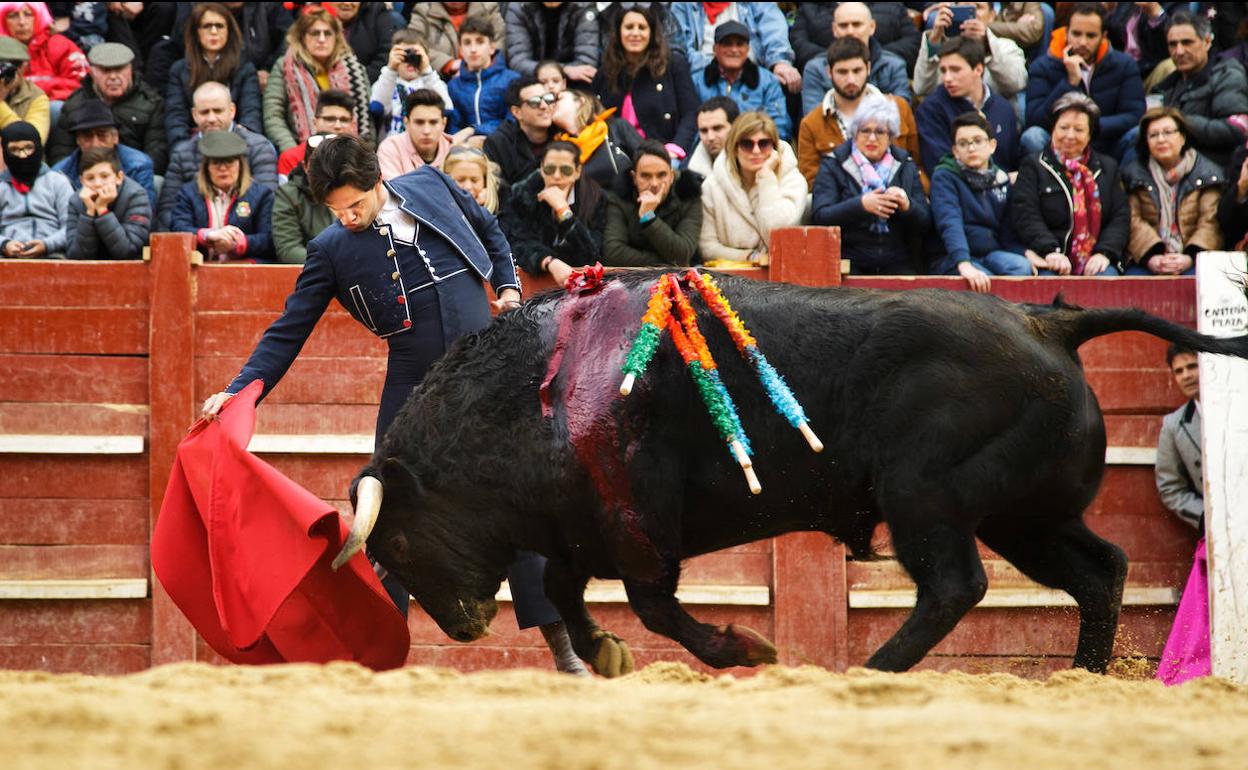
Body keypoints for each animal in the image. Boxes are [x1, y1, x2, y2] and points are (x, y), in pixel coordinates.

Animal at [334, 270, 1248, 673]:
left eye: (400, 544)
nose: (463, 629)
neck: (542, 394)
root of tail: (1050, 322)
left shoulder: (640, 531)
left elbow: (654, 607)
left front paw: (747, 647)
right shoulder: (579, 534)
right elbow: (572, 595)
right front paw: (607, 655)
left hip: (927, 499)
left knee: (955, 585)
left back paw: (874, 673)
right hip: (1025, 516)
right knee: (1099, 569)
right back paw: (1083, 676)